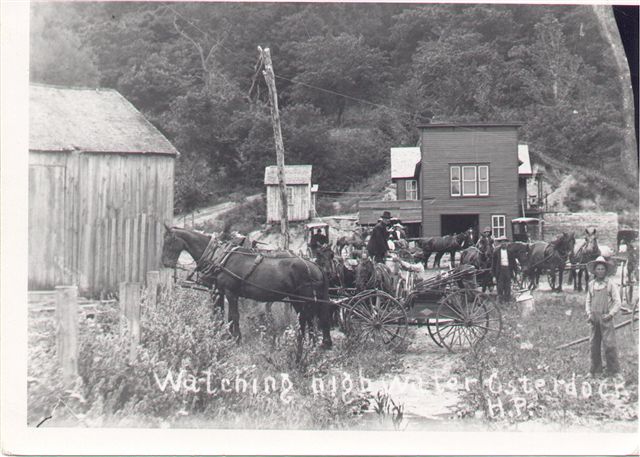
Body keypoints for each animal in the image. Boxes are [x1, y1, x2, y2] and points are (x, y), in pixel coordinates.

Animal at [160, 224, 332, 350]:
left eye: (169, 242)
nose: (165, 263)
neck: (218, 257)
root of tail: (315, 266)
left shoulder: (230, 292)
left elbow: (233, 316)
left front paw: (235, 339)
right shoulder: (218, 291)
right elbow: (220, 314)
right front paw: (221, 335)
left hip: (305, 298)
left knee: (309, 318)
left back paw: (308, 343)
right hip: (297, 299)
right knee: (306, 318)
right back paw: (306, 342)